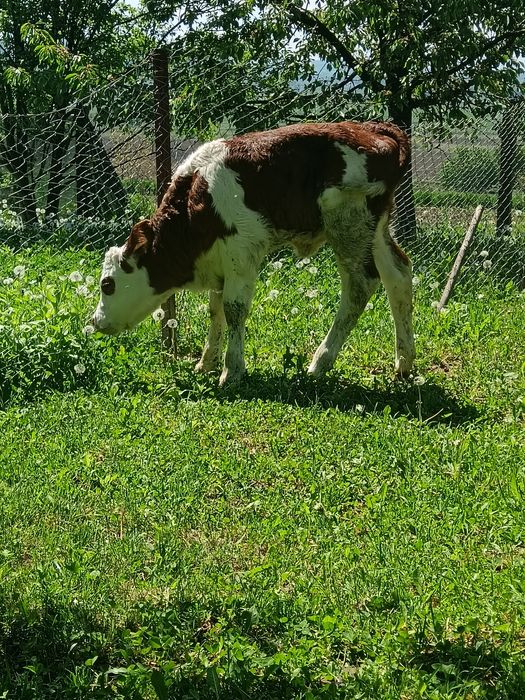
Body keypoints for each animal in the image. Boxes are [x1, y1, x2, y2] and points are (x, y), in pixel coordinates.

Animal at [92, 121, 415, 386]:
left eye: (107, 284)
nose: (96, 321)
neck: (198, 198)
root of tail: (376, 130)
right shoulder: (220, 261)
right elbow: (215, 309)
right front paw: (206, 362)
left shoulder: (241, 254)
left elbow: (234, 309)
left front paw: (231, 371)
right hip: (374, 230)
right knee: (398, 274)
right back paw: (404, 363)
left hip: (349, 225)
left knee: (360, 285)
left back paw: (320, 363)